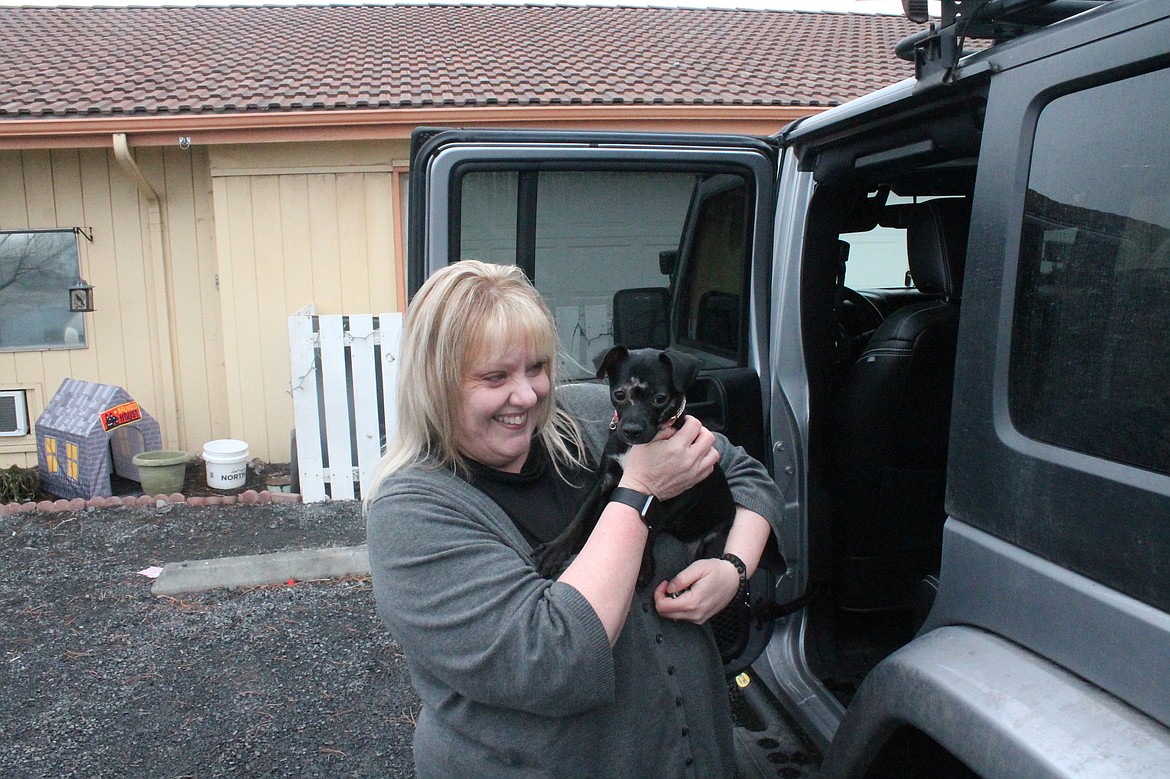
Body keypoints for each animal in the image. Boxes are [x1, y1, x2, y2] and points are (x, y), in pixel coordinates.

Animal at [535, 346, 734, 582]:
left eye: (660, 398)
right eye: (619, 395)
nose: (631, 431)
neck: (633, 448)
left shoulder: (685, 491)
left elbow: (654, 521)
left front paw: (643, 564)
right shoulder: (605, 479)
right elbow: (582, 514)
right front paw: (555, 549)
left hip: (715, 539)